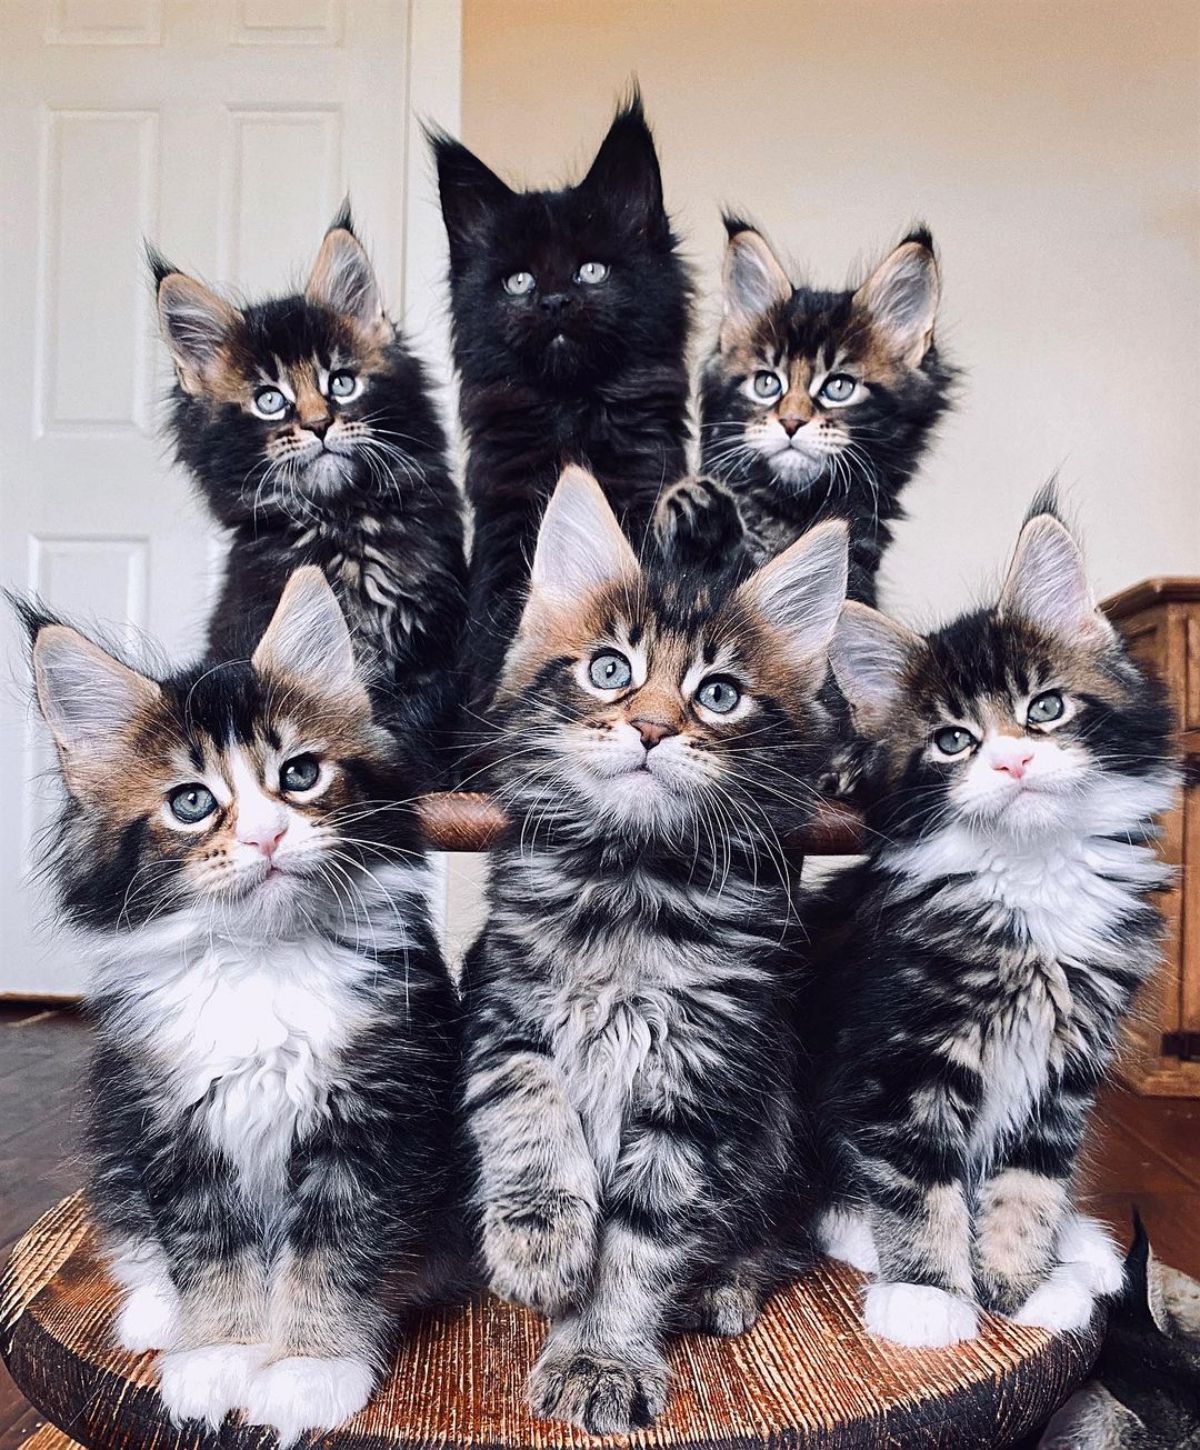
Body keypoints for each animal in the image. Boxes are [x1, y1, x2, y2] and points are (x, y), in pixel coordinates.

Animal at [24, 571, 463, 1444]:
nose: (266, 835)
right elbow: (209, 1252)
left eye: (299, 775)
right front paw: (217, 1356)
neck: (262, 959)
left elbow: (333, 1255)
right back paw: (159, 1315)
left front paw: (307, 1370)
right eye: (193, 802)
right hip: (116, 1127)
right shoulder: (174, 1123)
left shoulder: (373, 1116)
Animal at [457, 464, 846, 1426]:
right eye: (610, 670)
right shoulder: (502, 1004)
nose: (654, 728)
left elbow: (642, 1240)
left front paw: (599, 1356)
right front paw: (538, 1242)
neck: (634, 885)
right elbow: (528, 1105)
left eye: (718, 693)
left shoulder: (703, 1079)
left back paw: (723, 1284)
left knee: (776, 1238)